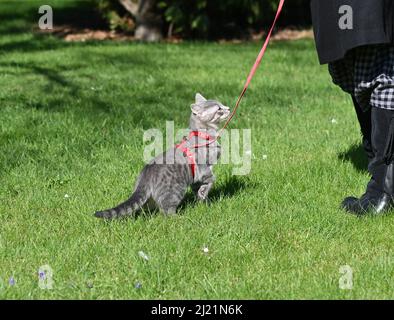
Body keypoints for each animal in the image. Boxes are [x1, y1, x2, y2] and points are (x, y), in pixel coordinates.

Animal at [95, 92, 231, 218]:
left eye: (222, 105)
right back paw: (179, 218)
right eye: (219, 109)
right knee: (166, 211)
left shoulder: (196, 177)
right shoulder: (203, 168)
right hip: (174, 192)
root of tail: (145, 175)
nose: (229, 108)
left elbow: (199, 190)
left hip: (149, 200)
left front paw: (203, 200)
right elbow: (210, 178)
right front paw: (205, 191)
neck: (204, 134)